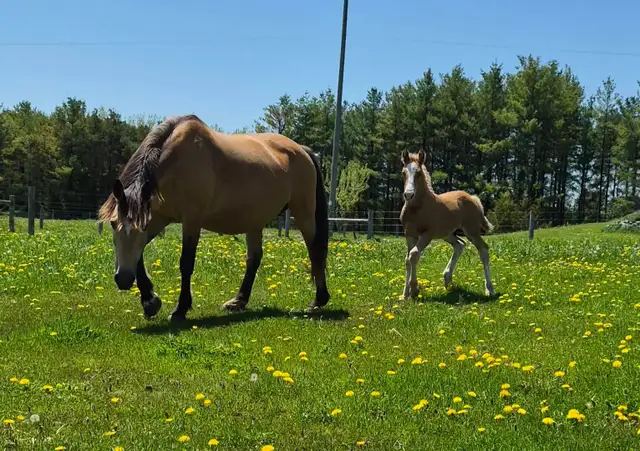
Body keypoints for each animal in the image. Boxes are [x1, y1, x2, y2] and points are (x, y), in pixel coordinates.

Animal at [98, 114, 330, 322]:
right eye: (113, 224)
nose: (123, 280)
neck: (175, 162)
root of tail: (302, 150)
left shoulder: (191, 220)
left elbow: (186, 263)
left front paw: (180, 309)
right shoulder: (158, 218)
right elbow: (138, 257)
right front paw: (150, 302)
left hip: (304, 212)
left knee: (315, 251)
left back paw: (318, 300)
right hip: (254, 219)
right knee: (254, 258)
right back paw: (238, 301)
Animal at [399, 149, 496, 300]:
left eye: (418, 173)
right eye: (404, 173)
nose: (408, 194)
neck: (417, 209)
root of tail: (472, 197)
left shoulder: (427, 234)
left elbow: (414, 254)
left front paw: (414, 290)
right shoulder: (409, 235)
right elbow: (408, 260)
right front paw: (405, 295)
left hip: (471, 230)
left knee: (483, 249)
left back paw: (489, 289)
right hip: (448, 234)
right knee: (460, 245)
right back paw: (447, 279)